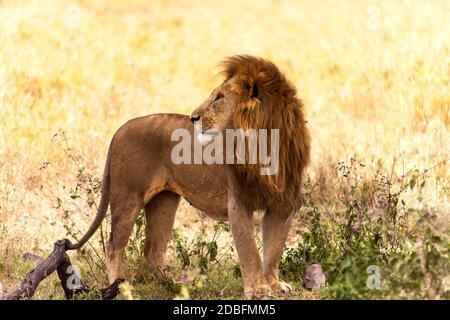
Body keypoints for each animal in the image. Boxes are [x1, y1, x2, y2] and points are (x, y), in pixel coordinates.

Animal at [65, 55, 312, 298]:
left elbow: (274, 249)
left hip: (164, 202)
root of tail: (120, 128)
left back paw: (172, 285)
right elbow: (249, 249)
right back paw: (121, 288)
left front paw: (274, 285)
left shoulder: (283, 205)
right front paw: (257, 290)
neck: (266, 140)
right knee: (114, 245)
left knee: (153, 249)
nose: (193, 117)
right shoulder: (239, 201)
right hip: (127, 198)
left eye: (219, 97)